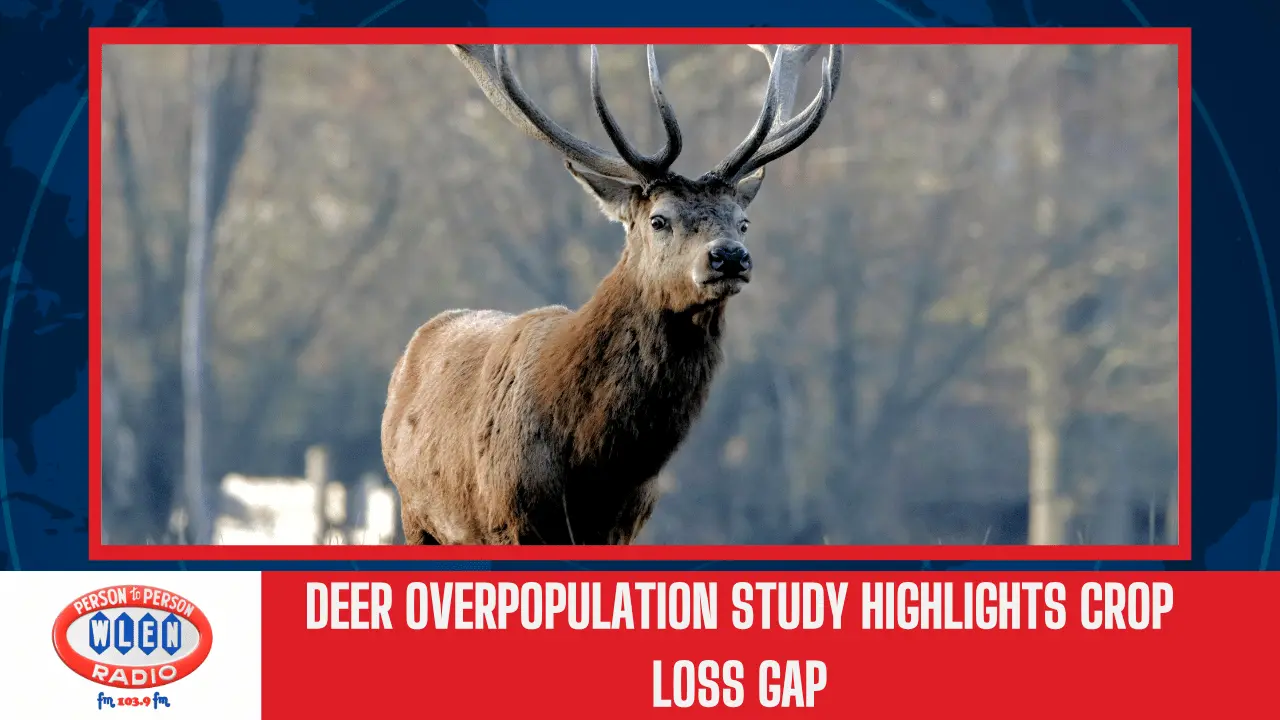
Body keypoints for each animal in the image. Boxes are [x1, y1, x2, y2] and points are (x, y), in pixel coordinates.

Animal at [381, 43, 843, 545]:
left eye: (743, 221)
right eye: (659, 219)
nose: (729, 257)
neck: (594, 466)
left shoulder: (627, 523)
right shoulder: (508, 518)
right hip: (416, 512)